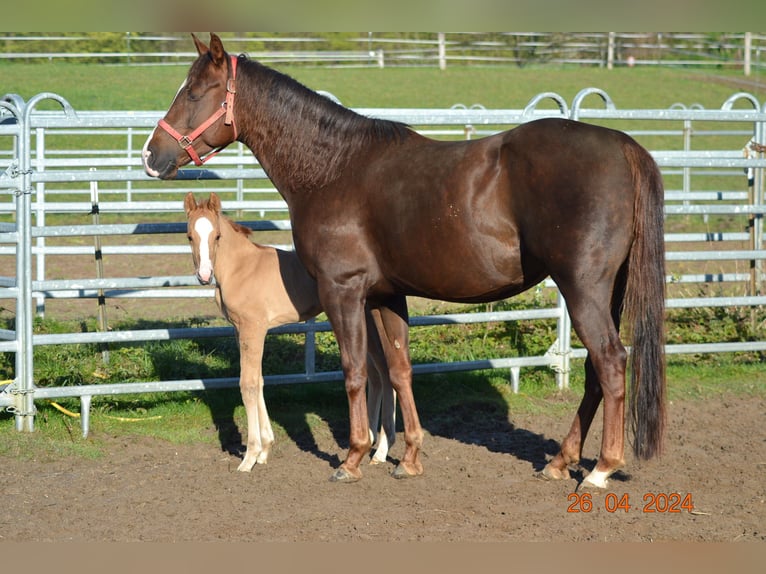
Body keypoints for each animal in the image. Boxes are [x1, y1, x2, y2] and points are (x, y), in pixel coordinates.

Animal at [187, 194, 400, 472]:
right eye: (189, 236)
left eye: (218, 236)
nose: (204, 275)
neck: (242, 268)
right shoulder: (240, 330)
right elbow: (260, 380)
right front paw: (265, 449)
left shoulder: (253, 329)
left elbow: (248, 384)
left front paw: (250, 456)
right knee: (377, 376)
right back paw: (373, 442)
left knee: (385, 374)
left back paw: (382, 449)